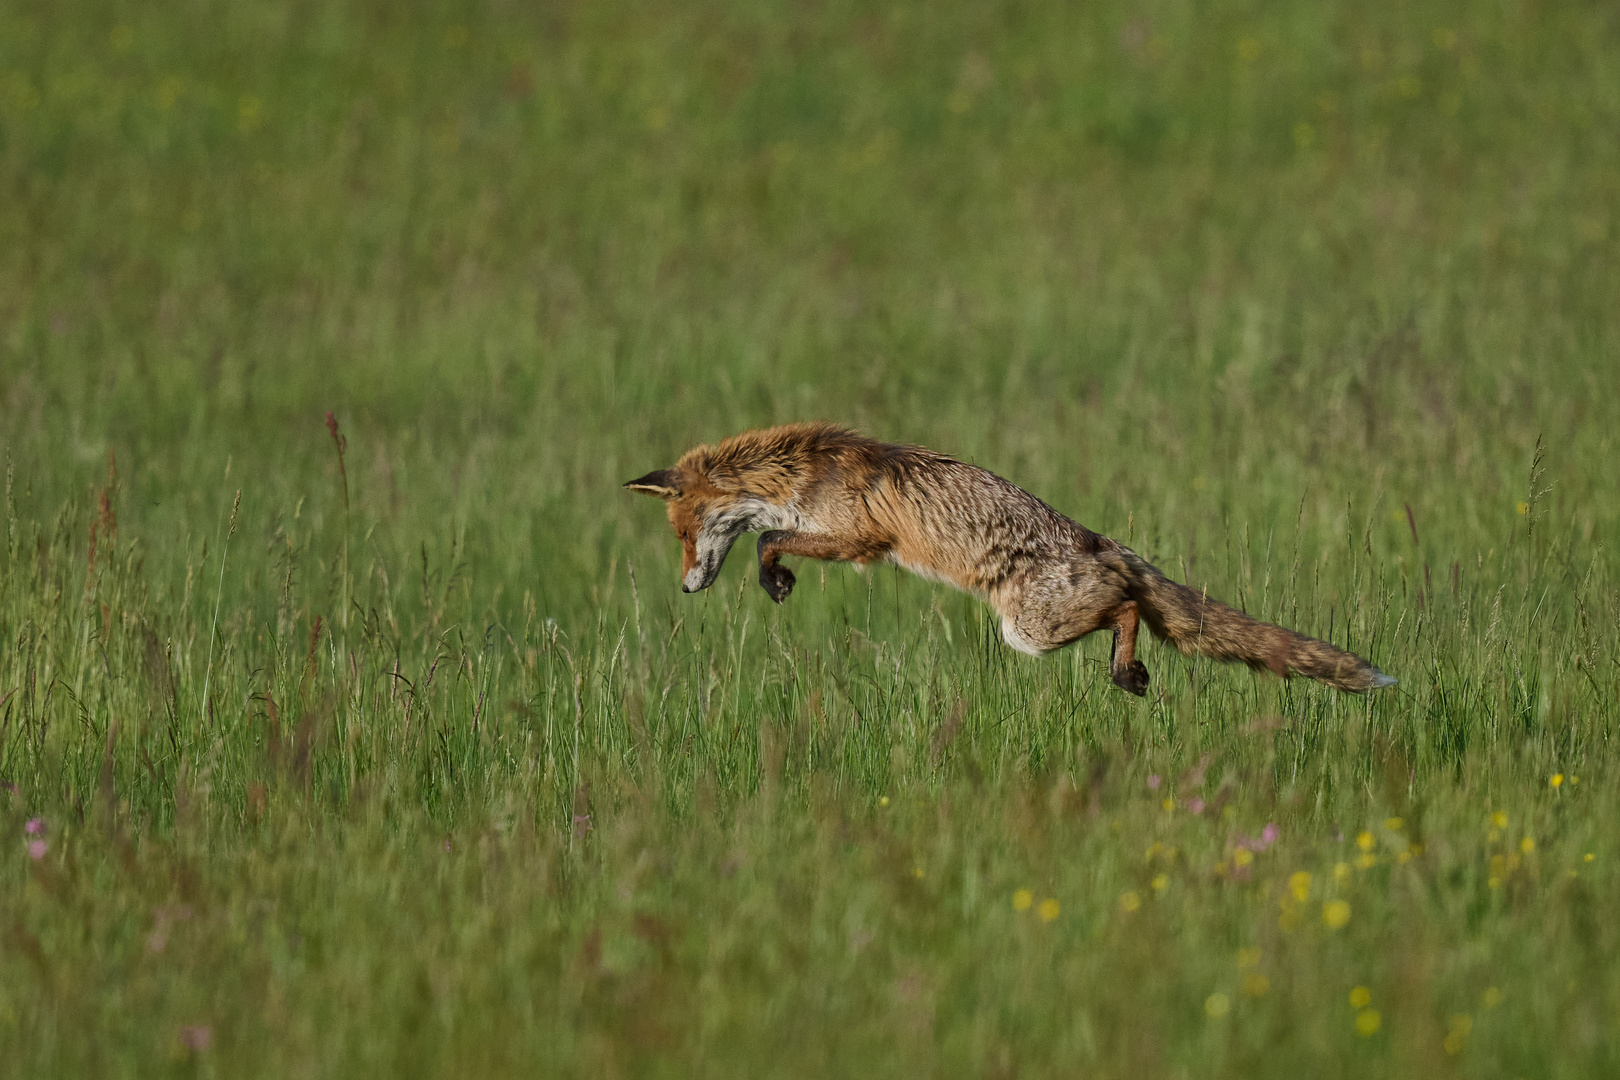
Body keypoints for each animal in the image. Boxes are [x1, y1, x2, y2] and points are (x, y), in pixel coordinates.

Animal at [622, 417, 1393, 696]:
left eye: (683, 533)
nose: (686, 588)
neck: (799, 474)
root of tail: (1104, 543)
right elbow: (768, 535)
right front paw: (774, 578)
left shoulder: (857, 538)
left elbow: (767, 538)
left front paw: (774, 579)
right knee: (1131, 604)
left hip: (1029, 630)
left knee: (1127, 605)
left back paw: (1126, 670)